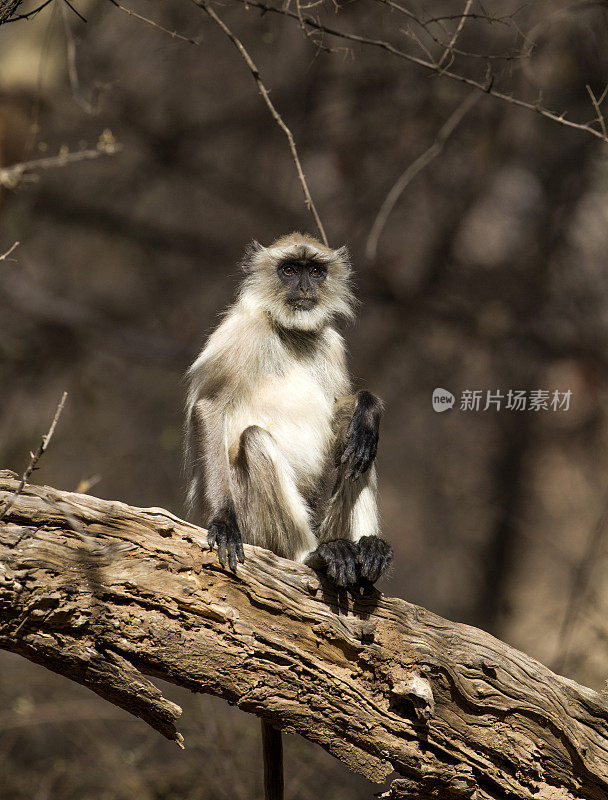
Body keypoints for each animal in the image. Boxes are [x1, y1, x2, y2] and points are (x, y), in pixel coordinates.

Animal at [185, 231, 394, 588]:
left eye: (316, 272)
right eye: (289, 270)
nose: (305, 288)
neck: (291, 332)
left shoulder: (331, 343)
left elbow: (341, 415)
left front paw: (368, 408)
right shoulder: (244, 330)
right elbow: (210, 407)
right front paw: (222, 522)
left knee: (360, 447)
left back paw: (367, 549)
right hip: (256, 525)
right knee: (255, 438)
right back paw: (312, 557)